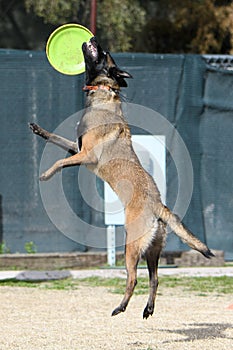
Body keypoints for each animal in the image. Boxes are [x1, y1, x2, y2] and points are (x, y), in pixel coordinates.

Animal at [29, 37, 215, 318]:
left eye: (104, 53)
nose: (93, 39)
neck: (104, 91)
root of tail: (158, 205)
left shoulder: (86, 155)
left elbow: (59, 162)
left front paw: (46, 175)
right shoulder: (76, 147)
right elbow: (57, 140)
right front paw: (39, 130)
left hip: (131, 246)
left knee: (133, 278)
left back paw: (120, 306)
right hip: (152, 250)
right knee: (155, 279)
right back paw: (148, 308)